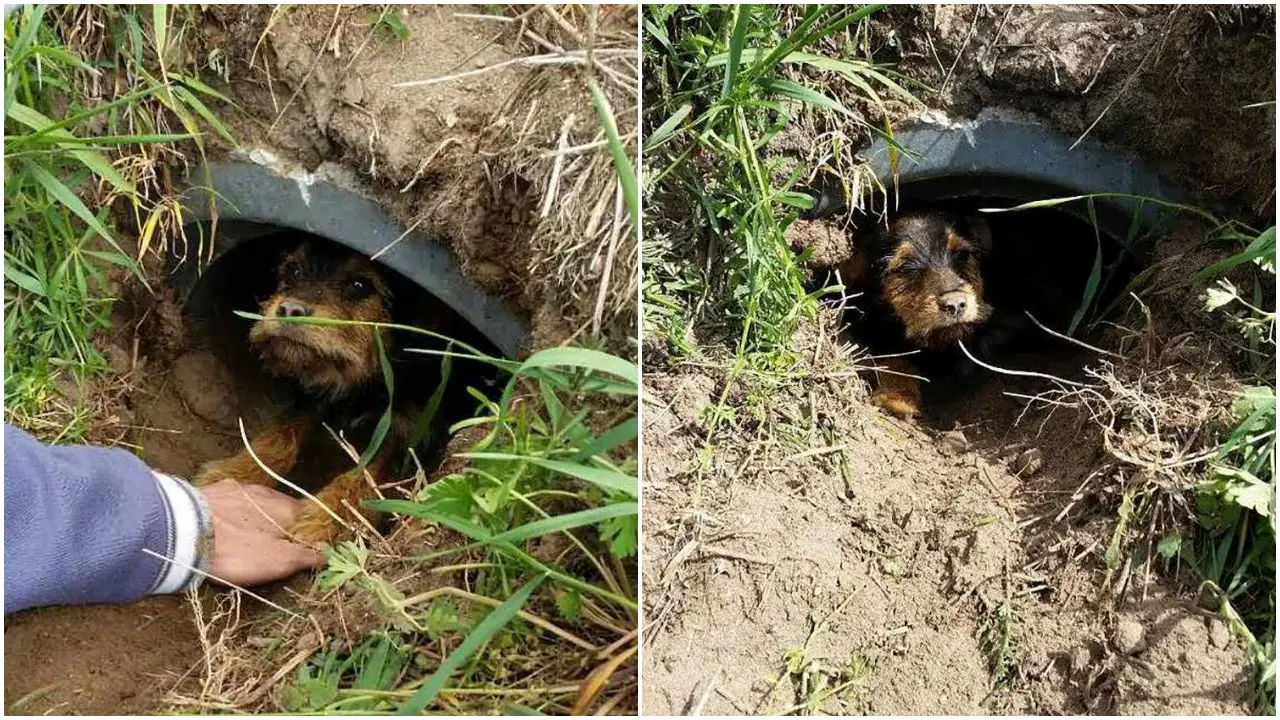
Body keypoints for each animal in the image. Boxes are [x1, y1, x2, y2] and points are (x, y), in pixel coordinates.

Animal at [189, 238, 430, 540]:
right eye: (293, 270)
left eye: (360, 285)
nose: (290, 310)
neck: (363, 386)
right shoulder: (313, 400)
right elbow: (279, 436)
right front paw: (233, 473)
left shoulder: (410, 436)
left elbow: (368, 476)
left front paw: (322, 524)